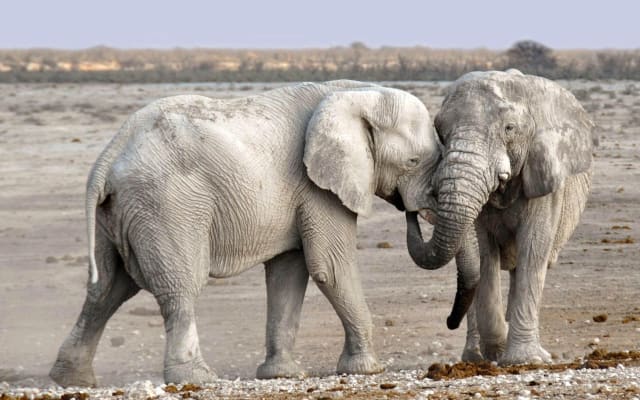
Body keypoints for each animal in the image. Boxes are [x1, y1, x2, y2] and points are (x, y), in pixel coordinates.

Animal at [49, 80, 441, 387]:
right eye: (413, 162)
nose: (412, 211)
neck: (357, 93)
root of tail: (109, 155)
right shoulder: (318, 187)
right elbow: (329, 267)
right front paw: (368, 369)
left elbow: (288, 273)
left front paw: (282, 375)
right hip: (166, 205)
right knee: (180, 286)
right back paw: (197, 378)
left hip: (119, 213)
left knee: (107, 289)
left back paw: (71, 380)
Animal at [405, 70, 593, 365]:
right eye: (440, 132)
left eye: (509, 129)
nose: (412, 210)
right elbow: (483, 254)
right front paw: (498, 350)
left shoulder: (544, 177)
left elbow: (534, 248)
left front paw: (525, 360)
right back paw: (475, 357)